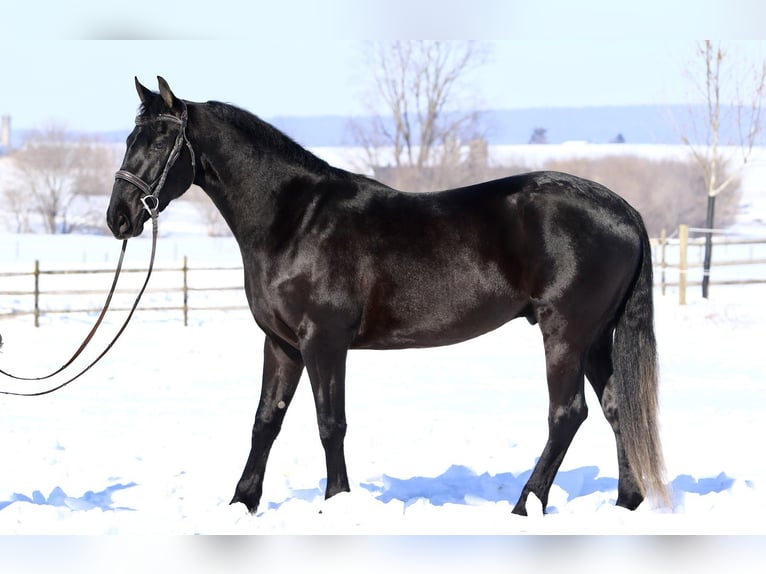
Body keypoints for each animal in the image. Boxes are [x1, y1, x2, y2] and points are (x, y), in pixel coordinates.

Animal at [106, 77, 667, 516]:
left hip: (565, 332)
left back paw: (526, 504)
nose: (119, 217)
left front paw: (336, 501)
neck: (296, 220)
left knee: (567, 414)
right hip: (595, 337)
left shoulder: (323, 341)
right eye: (131, 138)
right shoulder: (281, 344)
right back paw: (627, 502)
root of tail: (623, 209)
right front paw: (241, 504)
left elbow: (330, 423)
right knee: (618, 408)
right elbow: (266, 422)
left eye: (160, 142)